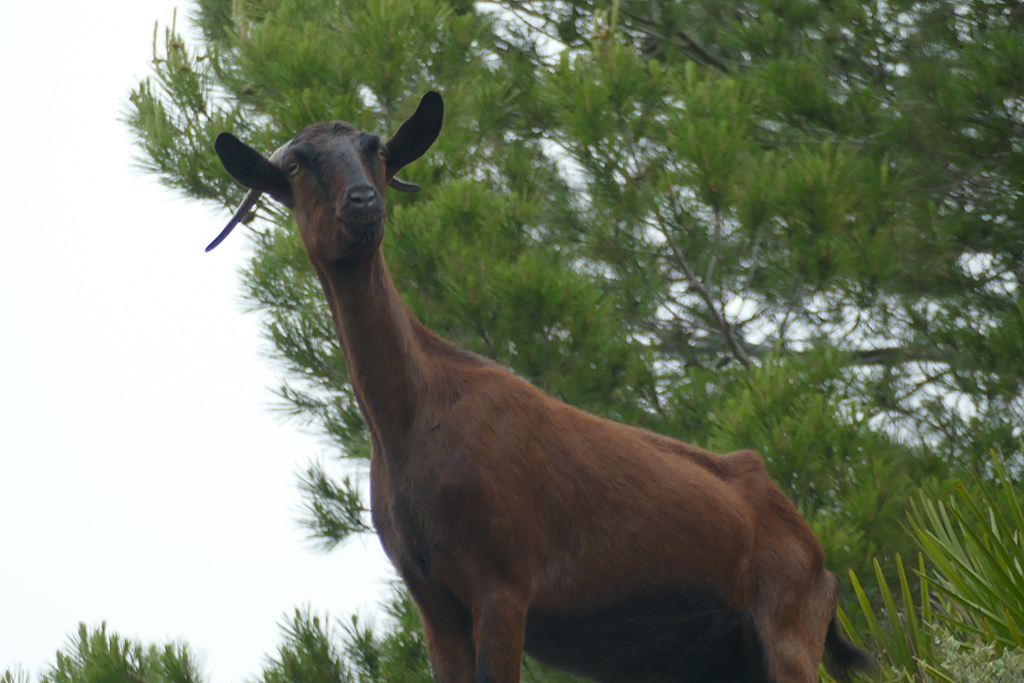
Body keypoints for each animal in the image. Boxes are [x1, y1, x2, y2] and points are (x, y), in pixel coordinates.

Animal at [209, 92, 872, 683]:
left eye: (377, 151)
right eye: (298, 164)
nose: (363, 201)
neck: (412, 416)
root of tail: (821, 563)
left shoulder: (504, 581)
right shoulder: (433, 599)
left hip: (788, 630)